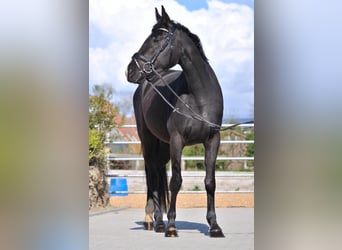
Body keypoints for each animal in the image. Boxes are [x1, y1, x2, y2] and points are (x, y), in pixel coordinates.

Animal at [125, 5, 224, 236]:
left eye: (157, 38)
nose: (130, 70)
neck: (199, 97)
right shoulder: (178, 140)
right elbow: (176, 181)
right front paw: (171, 226)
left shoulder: (213, 140)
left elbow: (210, 181)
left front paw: (214, 226)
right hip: (148, 140)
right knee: (152, 175)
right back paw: (156, 221)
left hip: (163, 144)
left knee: (157, 173)